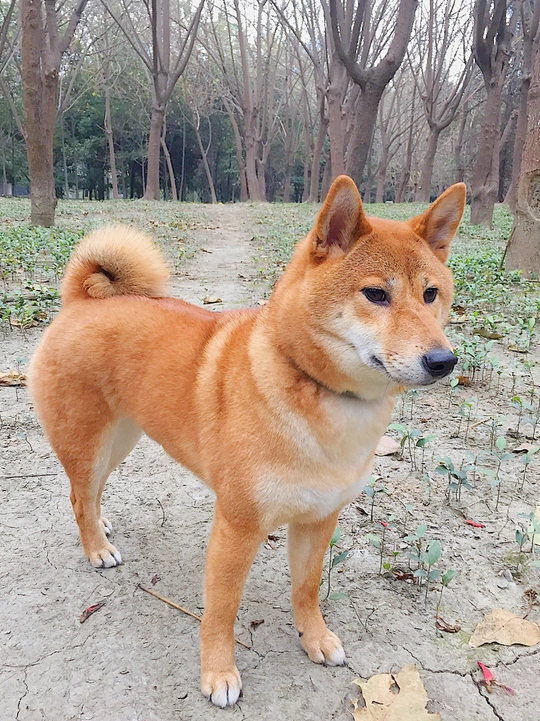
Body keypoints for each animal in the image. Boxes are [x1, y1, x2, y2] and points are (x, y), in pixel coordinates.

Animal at [29, 175, 465, 707]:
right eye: (376, 294)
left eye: (430, 294)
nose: (444, 360)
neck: (324, 398)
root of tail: (81, 301)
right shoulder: (238, 526)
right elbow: (221, 610)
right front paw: (218, 673)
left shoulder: (320, 517)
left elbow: (306, 587)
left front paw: (314, 637)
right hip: (89, 441)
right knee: (77, 494)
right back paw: (95, 548)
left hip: (123, 437)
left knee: (89, 493)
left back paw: (102, 524)